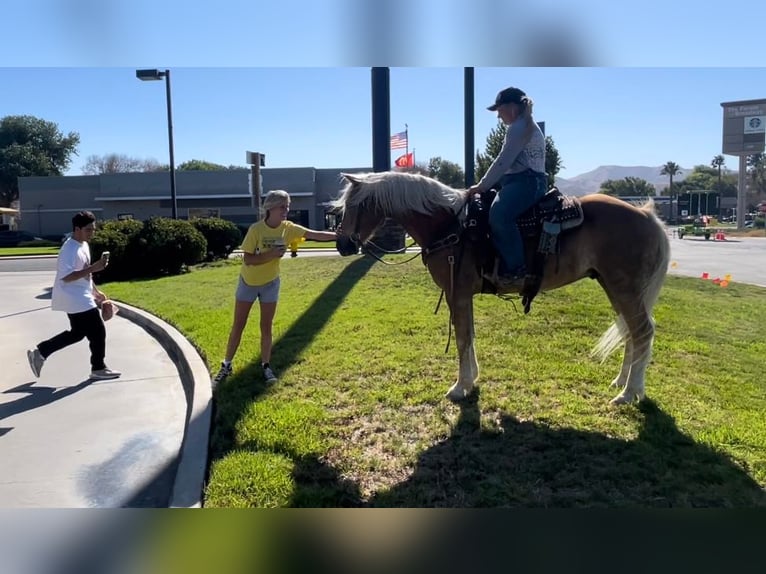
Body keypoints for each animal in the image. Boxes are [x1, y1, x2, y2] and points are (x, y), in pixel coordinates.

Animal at [332, 171, 672, 404]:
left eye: (355, 205)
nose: (343, 245)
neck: (450, 225)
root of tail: (645, 215)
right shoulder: (462, 296)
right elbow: (469, 335)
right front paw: (472, 379)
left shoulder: (456, 294)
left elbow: (462, 338)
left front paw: (459, 387)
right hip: (615, 287)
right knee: (631, 331)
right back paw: (622, 382)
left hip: (624, 288)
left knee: (642, 331)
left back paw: (629, 393)